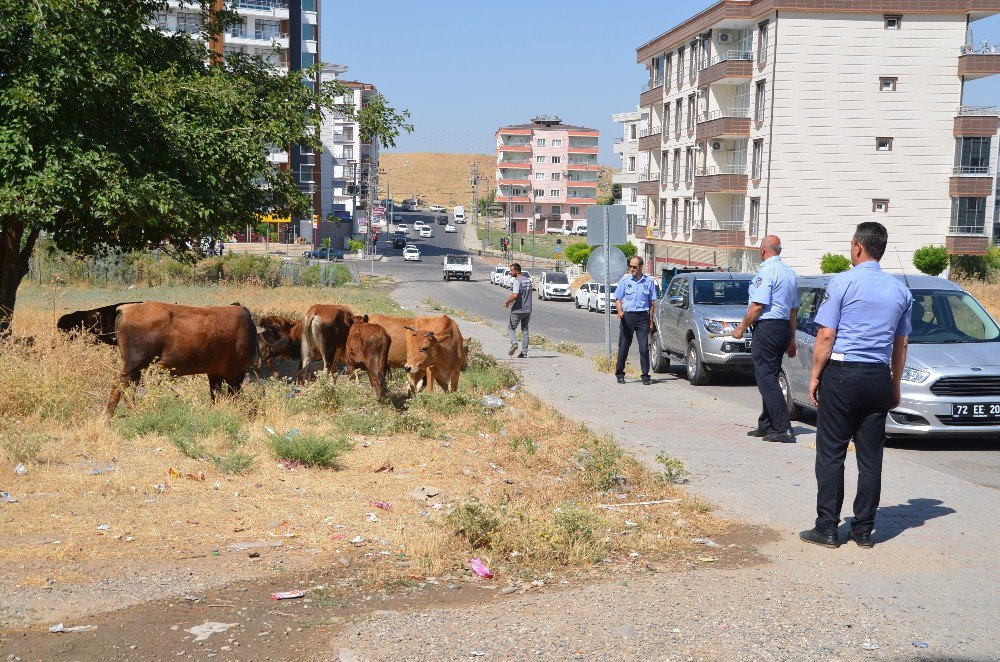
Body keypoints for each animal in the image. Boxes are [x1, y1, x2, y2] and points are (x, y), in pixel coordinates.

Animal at [106, 304, 258, 416]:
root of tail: (125, 308)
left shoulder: (214, 373)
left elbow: (215, 395)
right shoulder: (236, 374)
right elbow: (233, 396)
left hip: (137, 368)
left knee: (128, 388)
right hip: (134, 364)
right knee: (118, 385)